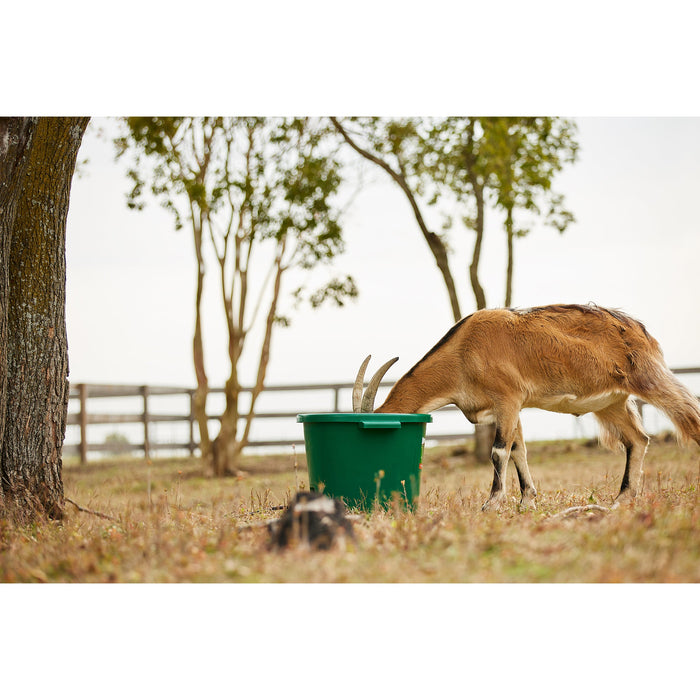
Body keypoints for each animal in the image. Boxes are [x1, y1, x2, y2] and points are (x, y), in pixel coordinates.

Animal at [356, 304, 700, 512]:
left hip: (648, 378)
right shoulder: (509, 406)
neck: (463, 351)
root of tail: (639, 330)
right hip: (610, 402)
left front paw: (492, 503)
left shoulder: (507, 398)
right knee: (637, 440)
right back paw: (622, 499)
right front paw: (526, 501)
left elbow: (499, 450)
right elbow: (517, 449)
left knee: (689, 415)